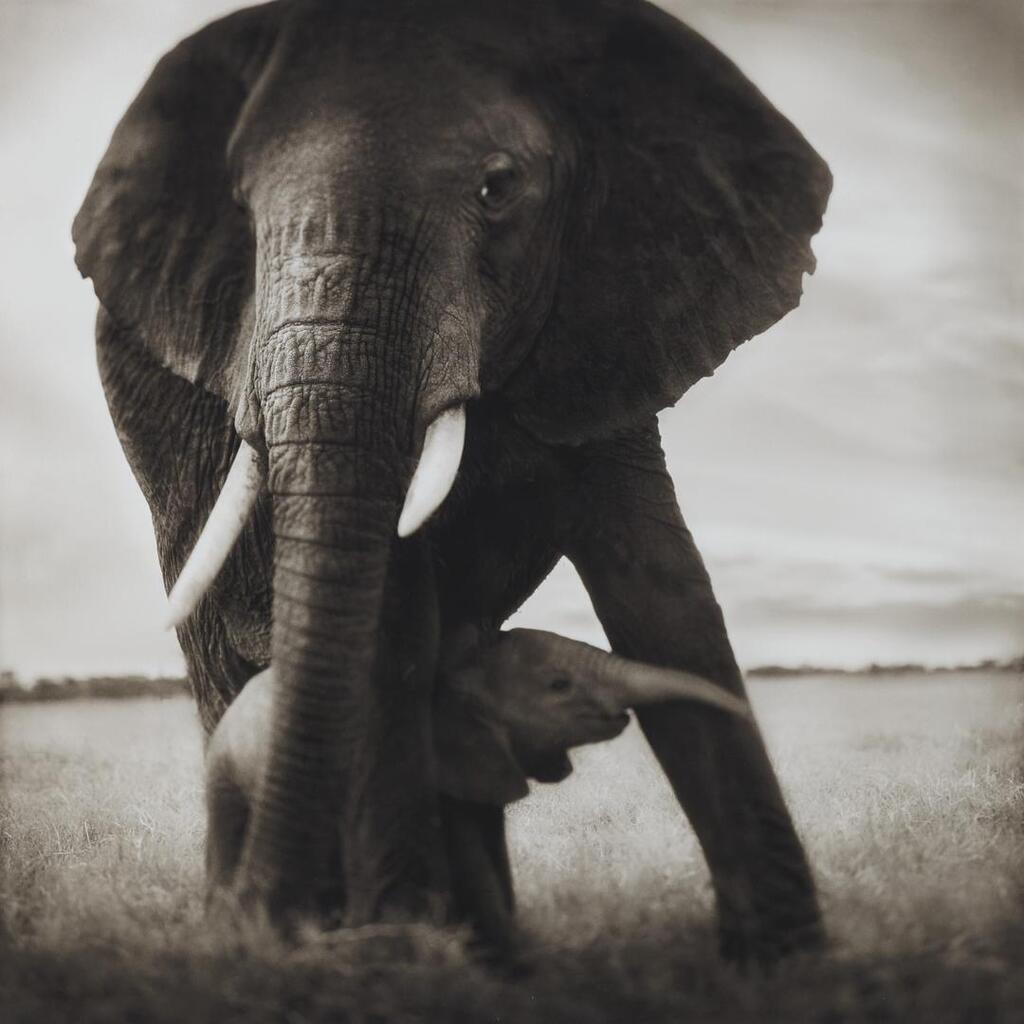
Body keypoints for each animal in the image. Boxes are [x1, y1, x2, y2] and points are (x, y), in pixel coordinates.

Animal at [205, 625, 750, 949]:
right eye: (558, 685)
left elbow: (490, 845)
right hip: (227, 770)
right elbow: (470, 861)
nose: (746, 714)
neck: (448, 676)